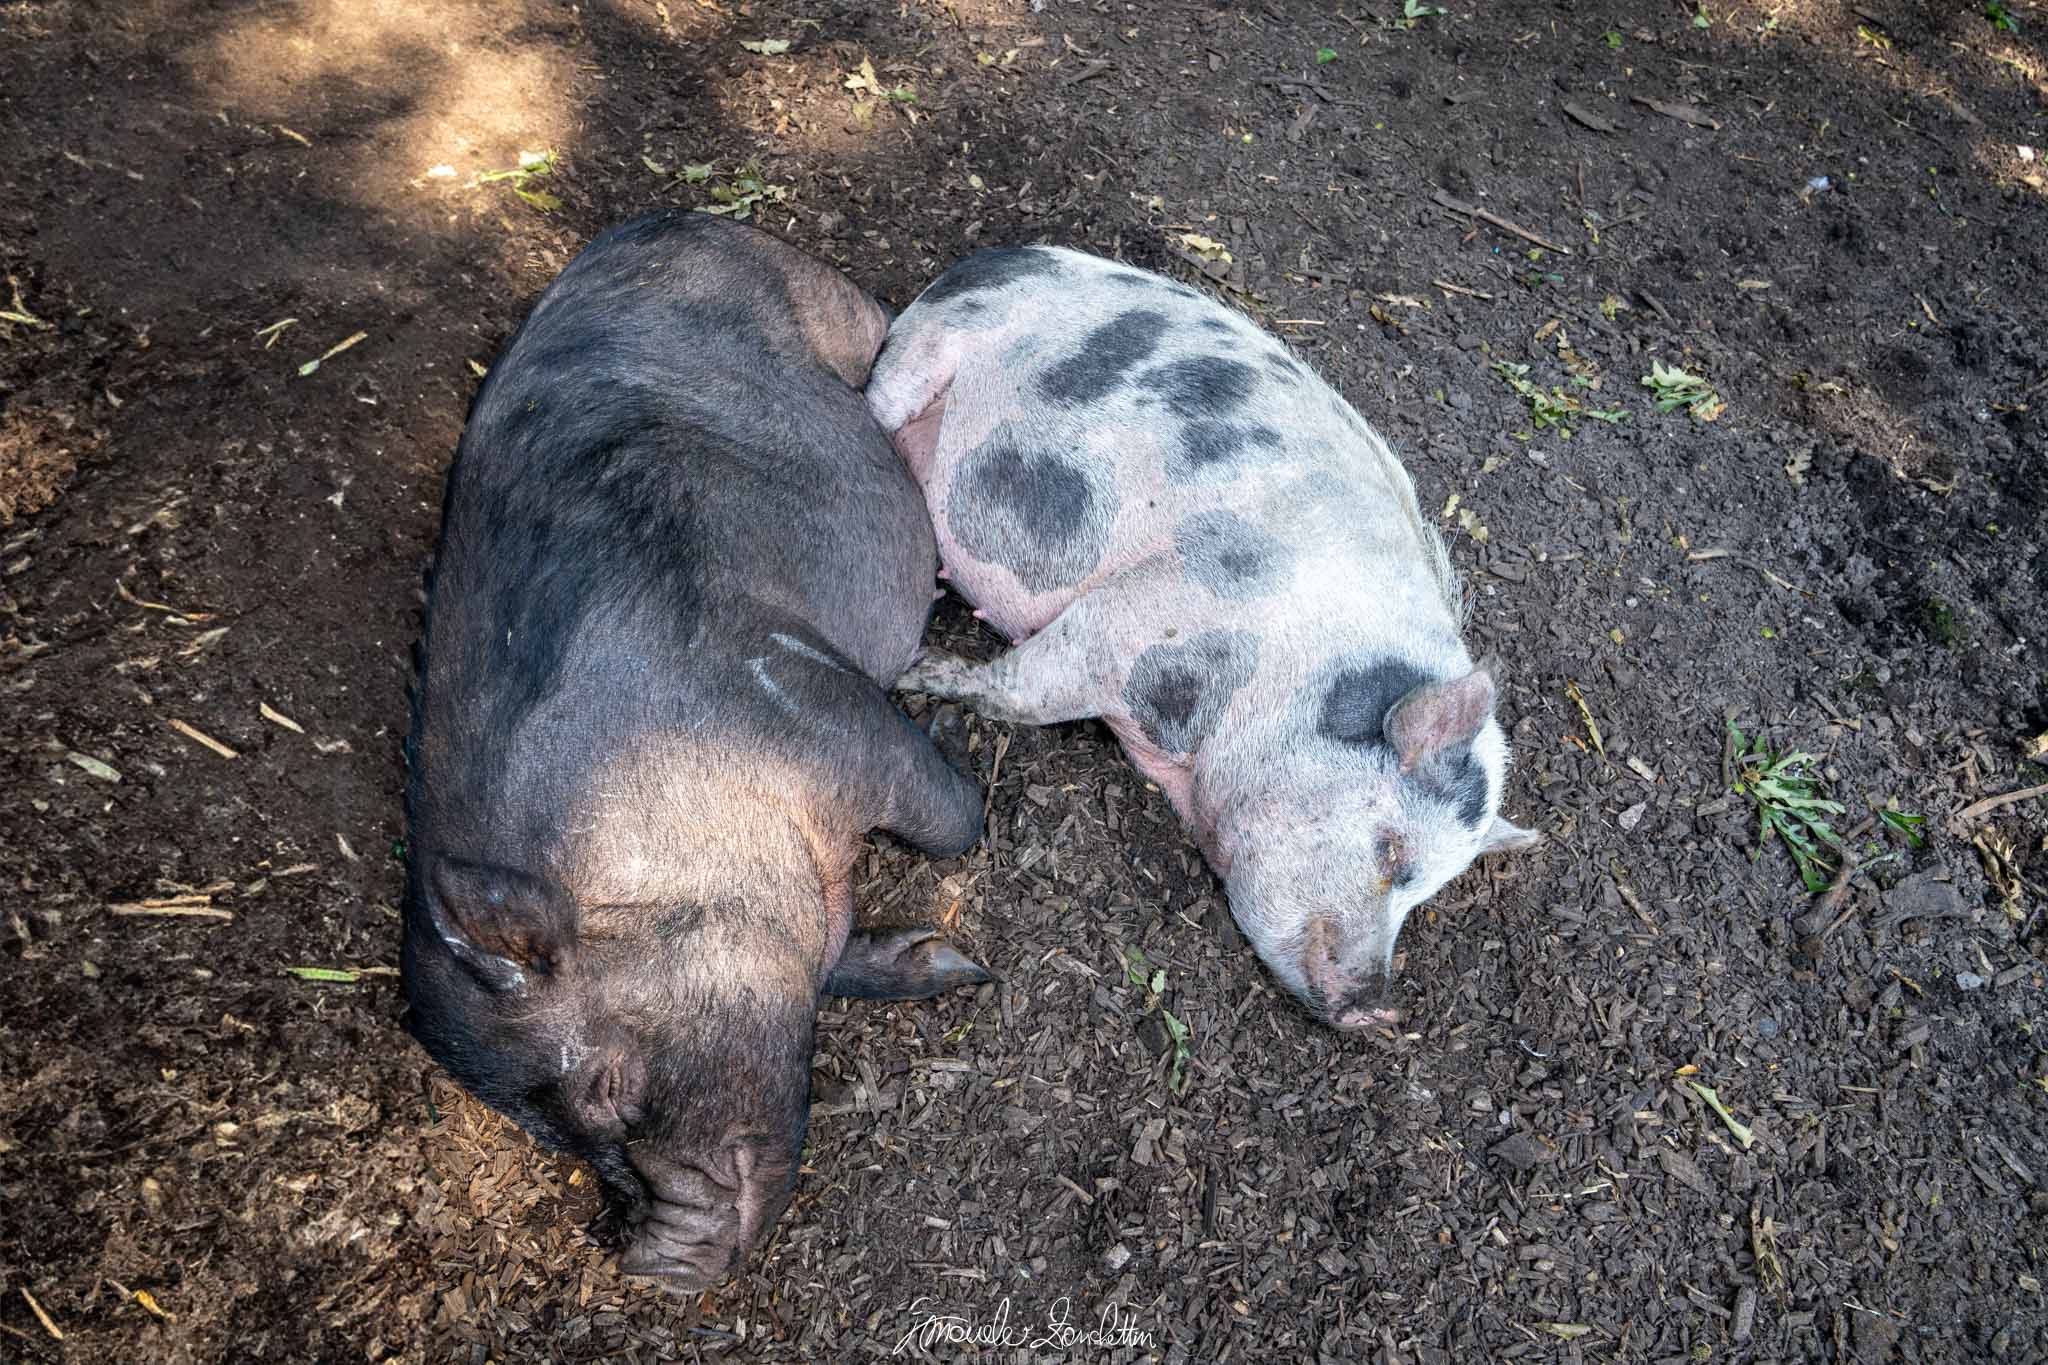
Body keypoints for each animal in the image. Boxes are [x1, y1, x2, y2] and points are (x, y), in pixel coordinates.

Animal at [401, 211, 990, 1292]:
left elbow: (954, 820)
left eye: (609, 1083)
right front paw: (944, 962)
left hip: (834, 312)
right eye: (553, 1136)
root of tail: (654, 221)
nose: (650, 1265)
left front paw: (965, 957)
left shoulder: (803, 690)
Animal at [866, 246, 1537, 1031]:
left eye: (1426, 891)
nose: (1380, 1011)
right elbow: (1026, 689)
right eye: (1391, 852)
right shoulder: (1148, 606)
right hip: (932, 346)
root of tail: (1000, 256)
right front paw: (922, 673)